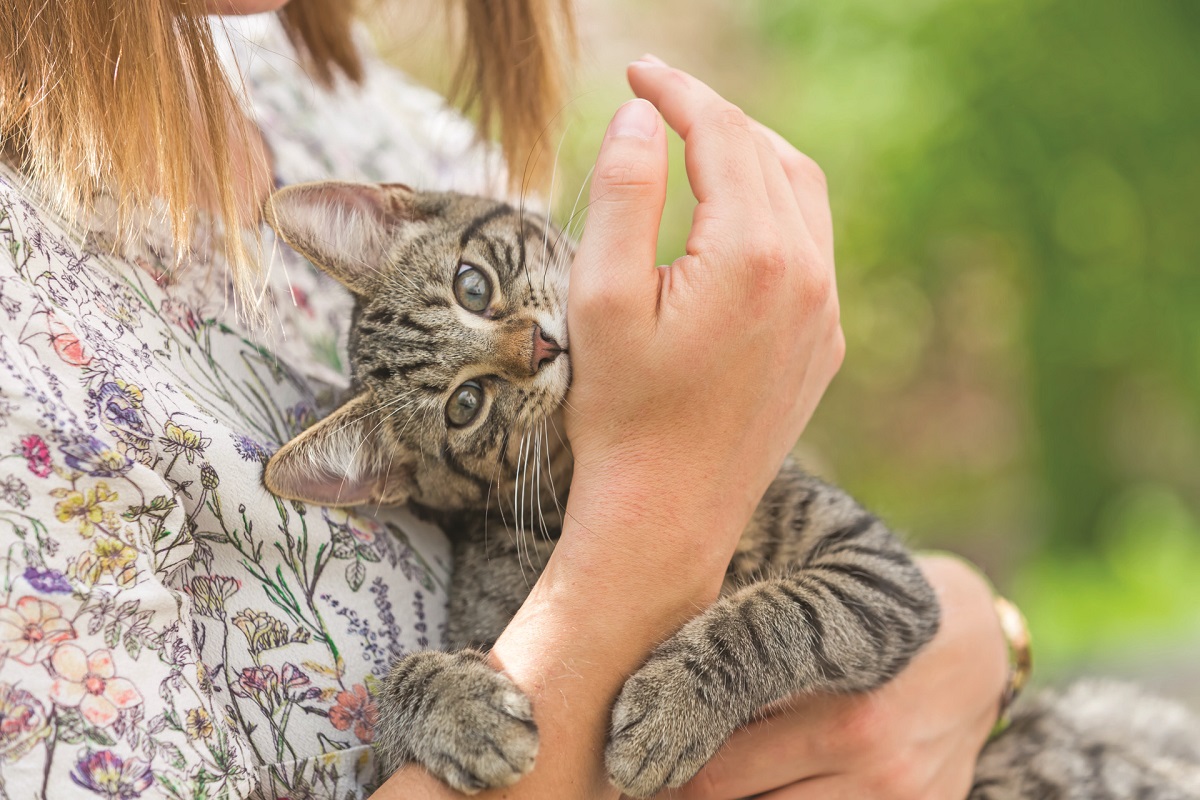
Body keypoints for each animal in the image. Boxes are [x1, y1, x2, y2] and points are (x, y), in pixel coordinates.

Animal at [262, 183, 1200, 800]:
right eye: (466, 406)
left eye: (472, 285)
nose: (539, 348)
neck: (569, 479)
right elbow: (396, 706)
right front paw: (455, 708)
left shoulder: (878, 567)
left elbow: (789, 613)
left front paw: (677, 704)